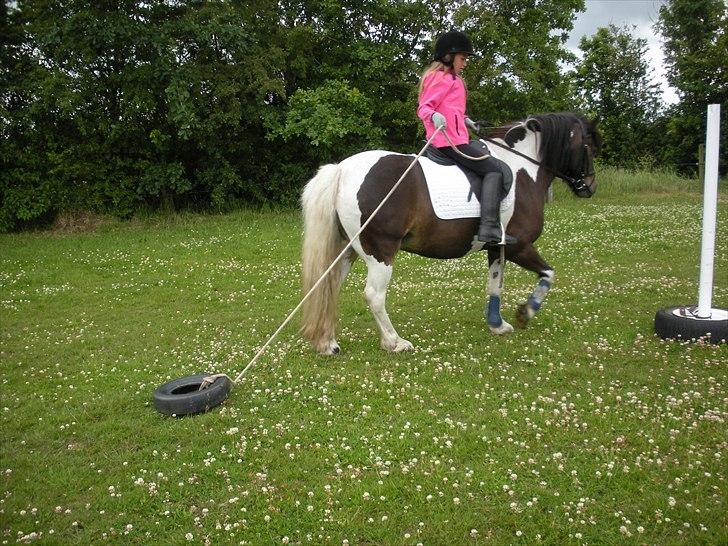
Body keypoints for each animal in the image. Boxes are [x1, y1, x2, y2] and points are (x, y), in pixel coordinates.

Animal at [298, 112, 600, 354]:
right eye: (588, 145)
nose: (589, 186)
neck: (521, 168)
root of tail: (342, 169)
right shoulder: (519, 246)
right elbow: (548, 274)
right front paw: (525, 312)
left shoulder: (497, 247)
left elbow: (495, 285)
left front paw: (497, 325)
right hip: (380, 252)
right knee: (374, 295)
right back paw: (394, 342)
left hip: (348, 250)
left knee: (329, 288)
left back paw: (328, 343)